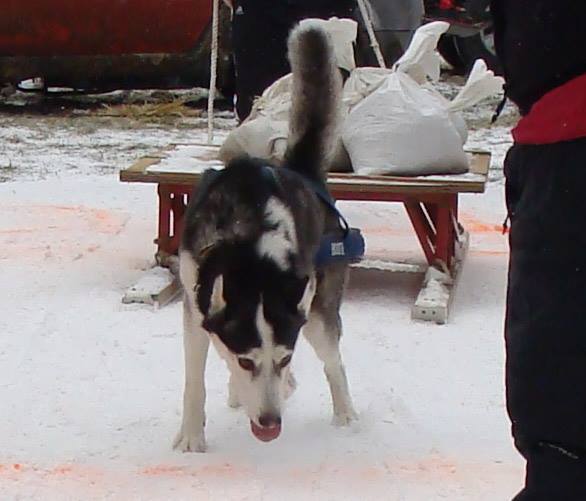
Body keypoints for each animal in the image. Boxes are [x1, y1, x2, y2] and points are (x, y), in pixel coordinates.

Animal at [173, 21, 356, 452]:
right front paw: (191, 436)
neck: (249, 240)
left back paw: (345, 415)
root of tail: (300, 171)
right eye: (247, 360)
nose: (271, 423)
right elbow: (195, 378)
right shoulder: (194, 306)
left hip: (318, 314)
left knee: (335, 362)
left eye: (285, 357)